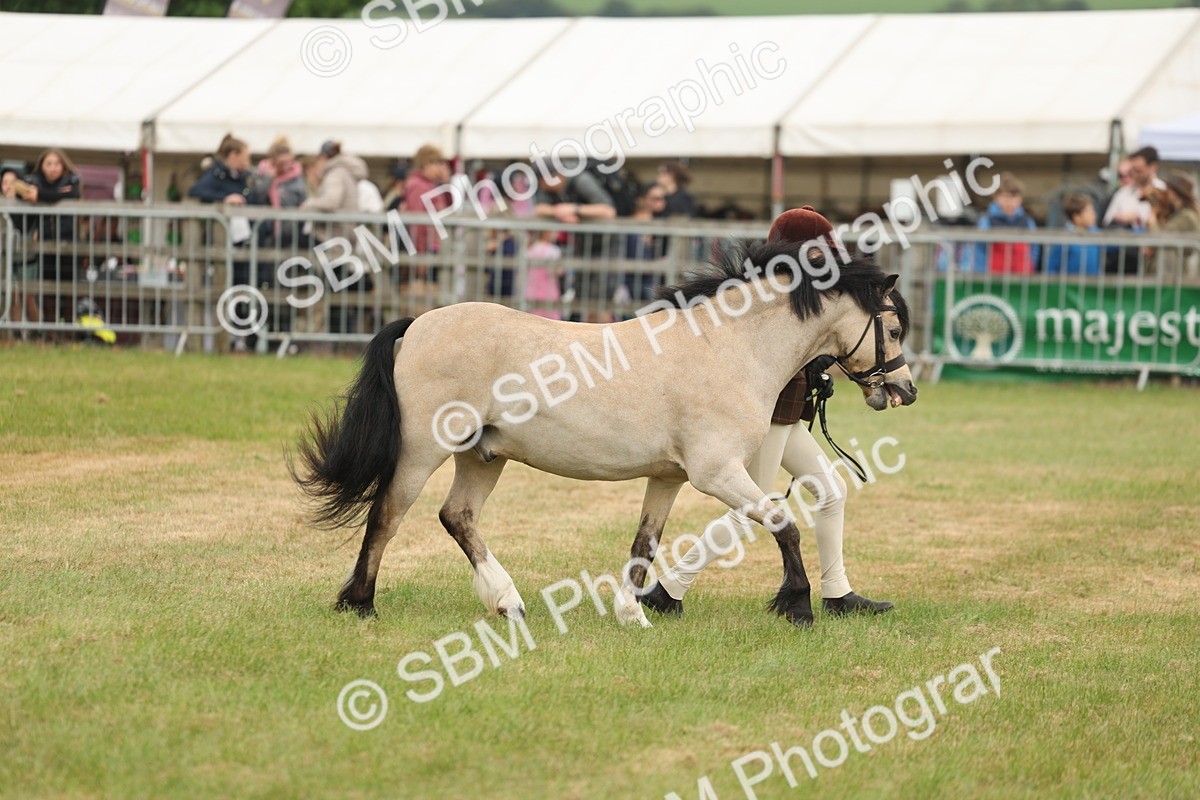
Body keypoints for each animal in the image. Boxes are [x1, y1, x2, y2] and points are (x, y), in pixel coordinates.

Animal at [291, 238, 916, 629]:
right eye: (891, 327)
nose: (905, 390)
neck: (730, 347)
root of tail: (417, 325)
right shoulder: (716, 474)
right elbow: (784, 524)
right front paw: (798, 606)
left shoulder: (669, 478)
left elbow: (645, 545)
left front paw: (634, 614)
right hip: (423, 450)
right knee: (388, 515)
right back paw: (361, 604)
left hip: (483, 455)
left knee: (457, 517)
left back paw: (509, 603)